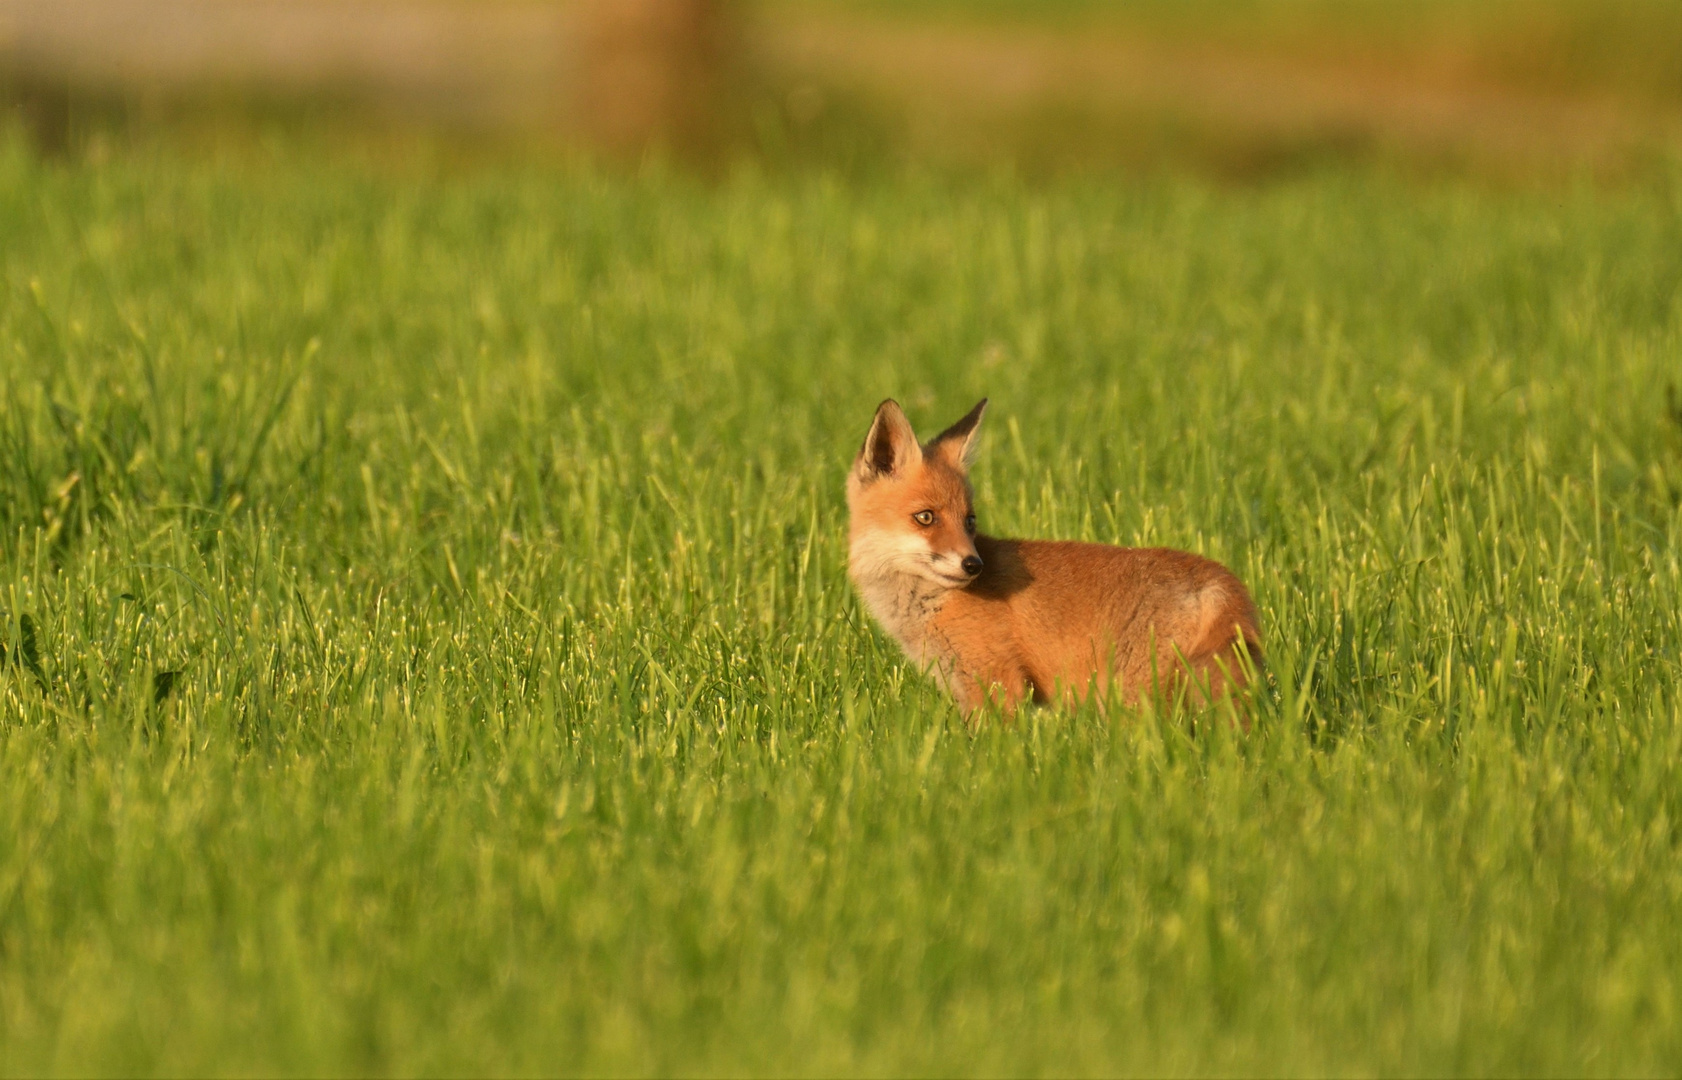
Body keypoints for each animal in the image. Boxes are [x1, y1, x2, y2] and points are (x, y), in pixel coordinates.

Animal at [847, 395, 1264, 713]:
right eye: (926, 517)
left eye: (969, 520)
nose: (973, 565)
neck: (931, 605)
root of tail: (1220, 578)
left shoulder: (998, 682)